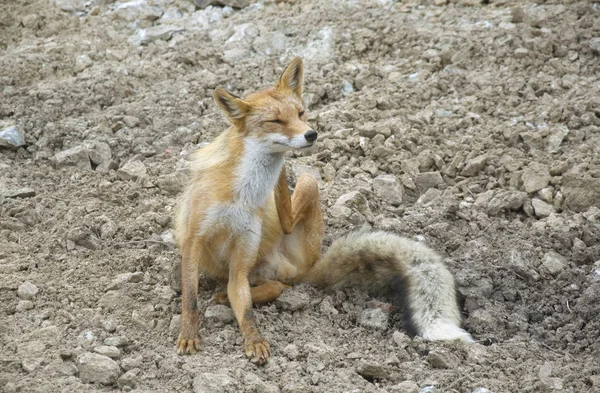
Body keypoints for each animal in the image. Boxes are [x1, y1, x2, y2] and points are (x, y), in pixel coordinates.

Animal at [173, 56, 474, 362]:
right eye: (276, 121)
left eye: (301, 113)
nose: (311, 134)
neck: (243, 194)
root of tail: (309, 265)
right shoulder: (194, 239)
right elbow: (190, 299)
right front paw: (189, 335)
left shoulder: (242, 254)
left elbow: (245, 310)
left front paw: (253, 340)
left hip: (306, 186)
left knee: (278, 281)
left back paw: (228, 294)